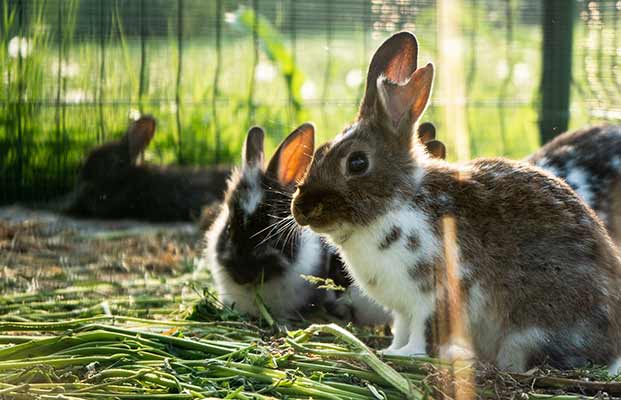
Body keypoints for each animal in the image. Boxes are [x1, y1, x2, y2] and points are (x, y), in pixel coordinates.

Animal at [292, 32, 621, 374]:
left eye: (357, 163)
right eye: (320, 151)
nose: (301, 209)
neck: (399, 200)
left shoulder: (435, 295)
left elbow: (423, 333)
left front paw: (409, 356)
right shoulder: (403, 308)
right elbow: (402, 328)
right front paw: (390, 351)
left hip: (529, 332)